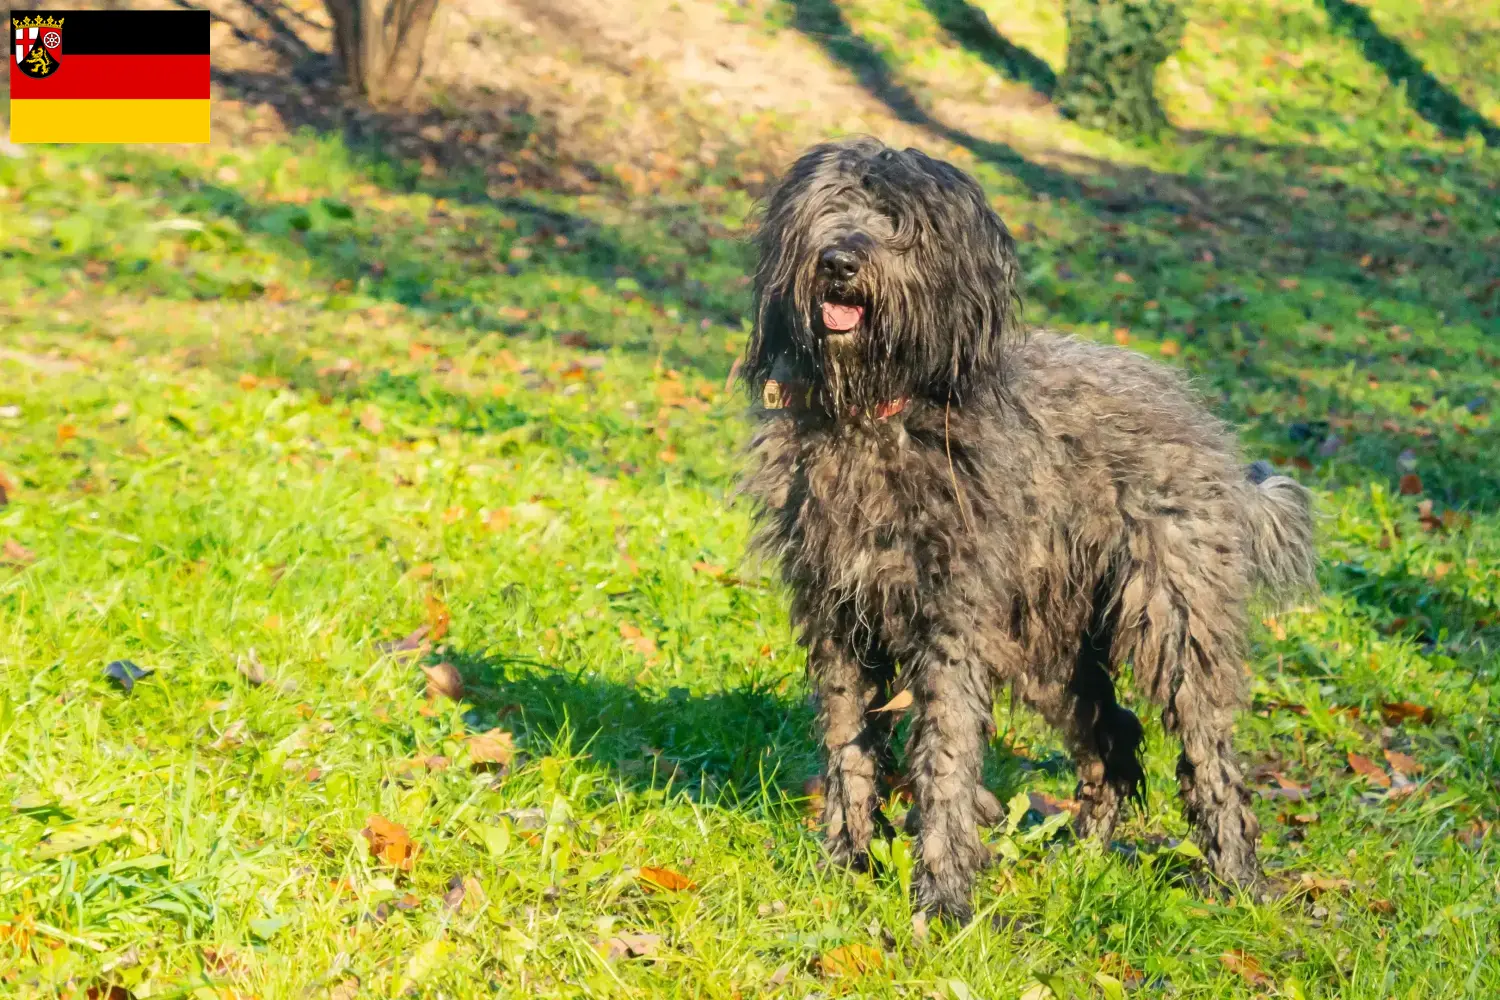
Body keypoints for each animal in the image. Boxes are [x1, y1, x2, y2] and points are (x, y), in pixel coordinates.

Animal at [741, 137, 1314, 929]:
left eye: (901, 223)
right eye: (831, 205)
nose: (839, 261)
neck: (879, 414)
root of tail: (1207, 430)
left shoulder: (950, 624)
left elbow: (945, 760)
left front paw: (942, 896)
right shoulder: (838, 617)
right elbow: (848, 743)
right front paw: (847, 860)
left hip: (1172, 618)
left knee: (1207, 748)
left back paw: (1237, 880)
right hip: (1049, 645)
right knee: (1112, 739)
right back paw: (1084, 854)